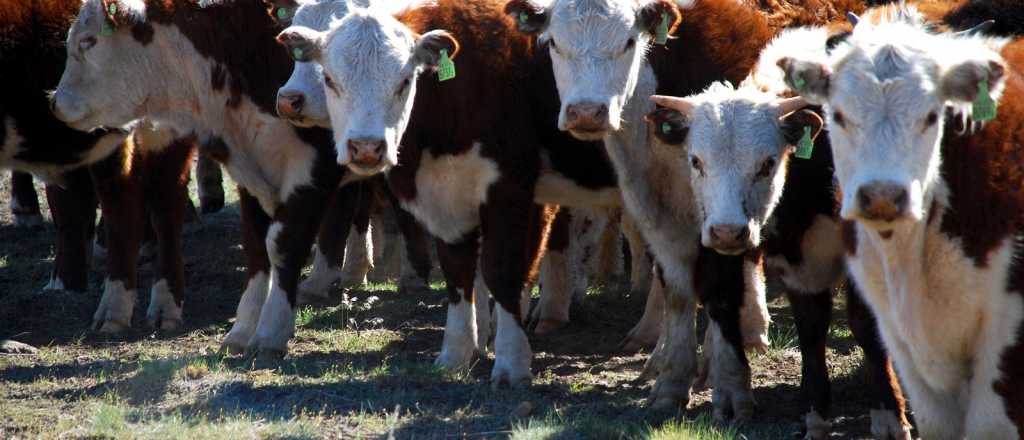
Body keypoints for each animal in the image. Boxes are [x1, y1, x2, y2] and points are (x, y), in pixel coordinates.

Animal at [647, 24, 913, 440]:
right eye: (696, 161)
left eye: (768, 163)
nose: (727, 232)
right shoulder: (793, 265)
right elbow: (809, 328)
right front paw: (813, 414)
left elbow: (866, 325)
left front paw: (889, 415)